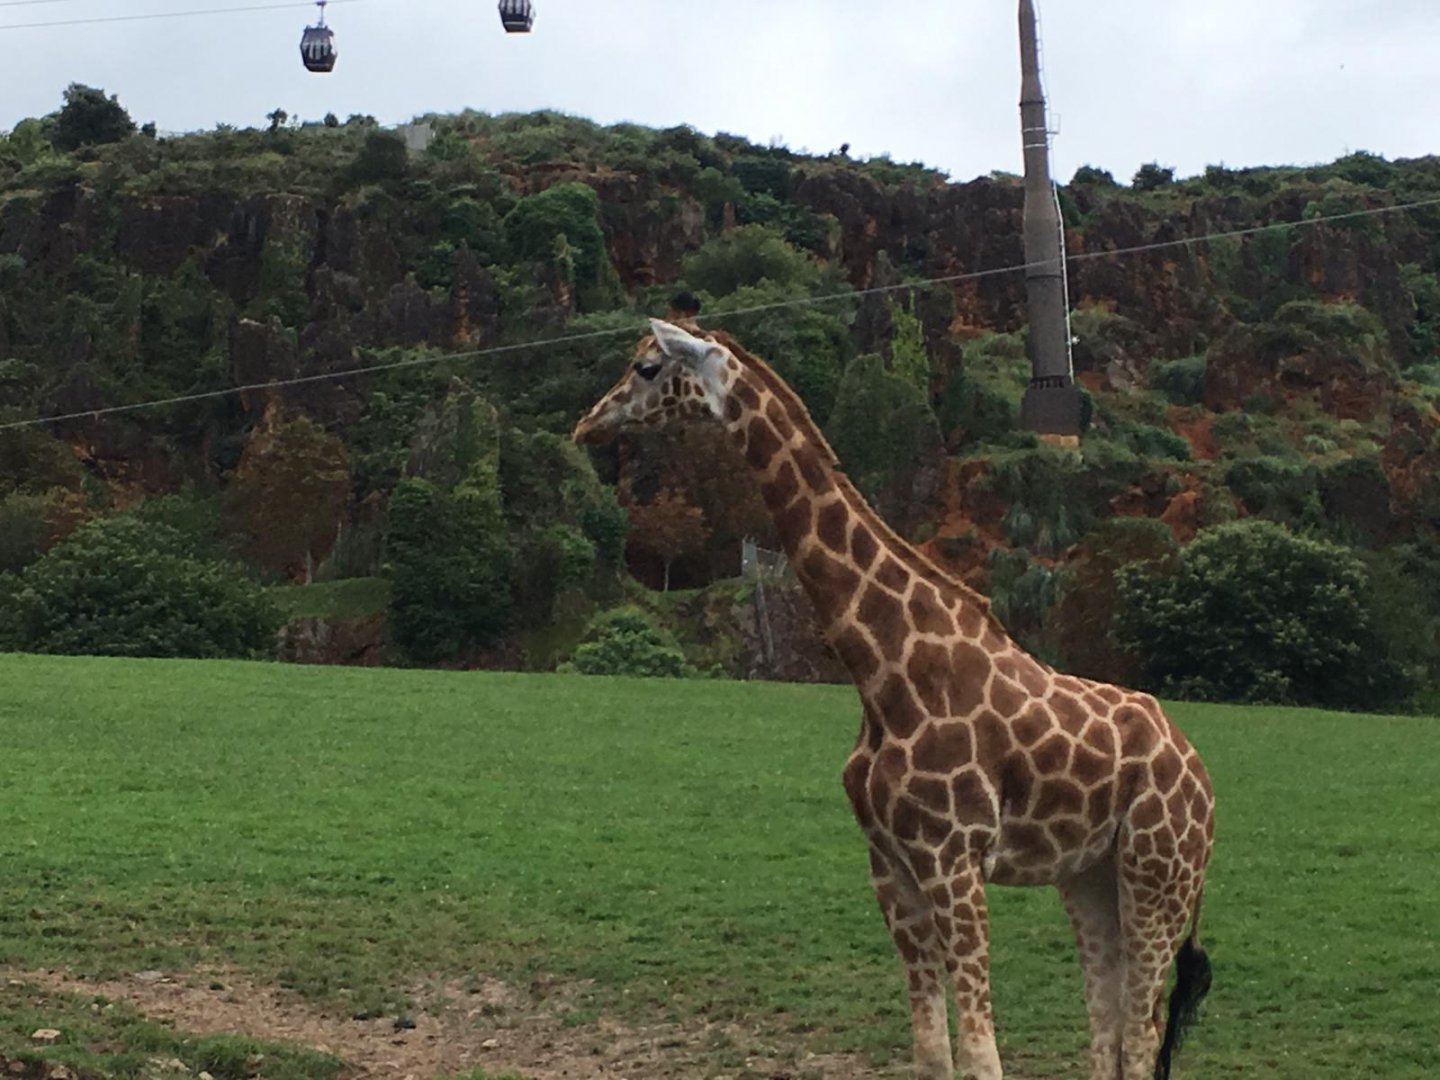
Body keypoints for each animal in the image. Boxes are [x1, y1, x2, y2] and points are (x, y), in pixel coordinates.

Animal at [573, 320, 1215, 1080]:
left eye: (646, 367)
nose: (586, 423)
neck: (883, 672)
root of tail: (1200, 772)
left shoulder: (954, 860)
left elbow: (981, 1056)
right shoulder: (890, 866)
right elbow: (932, 1052)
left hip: (1159, 871)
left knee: (1142, 1034)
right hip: (1090, 875)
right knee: (1110, 1031)